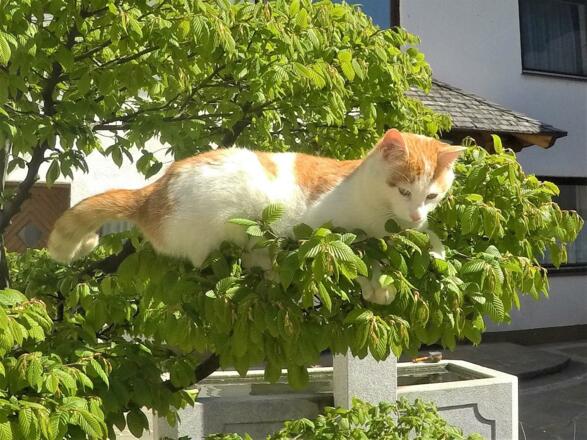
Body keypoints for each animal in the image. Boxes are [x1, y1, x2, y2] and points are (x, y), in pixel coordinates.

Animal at [47, 129, 464, 305]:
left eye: (431, 195)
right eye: (403, 190)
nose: (414, 213)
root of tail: (152, 191)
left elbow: (430, 239)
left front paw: (440, 257)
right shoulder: (329, 229)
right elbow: (357, 258)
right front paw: (379, 285)